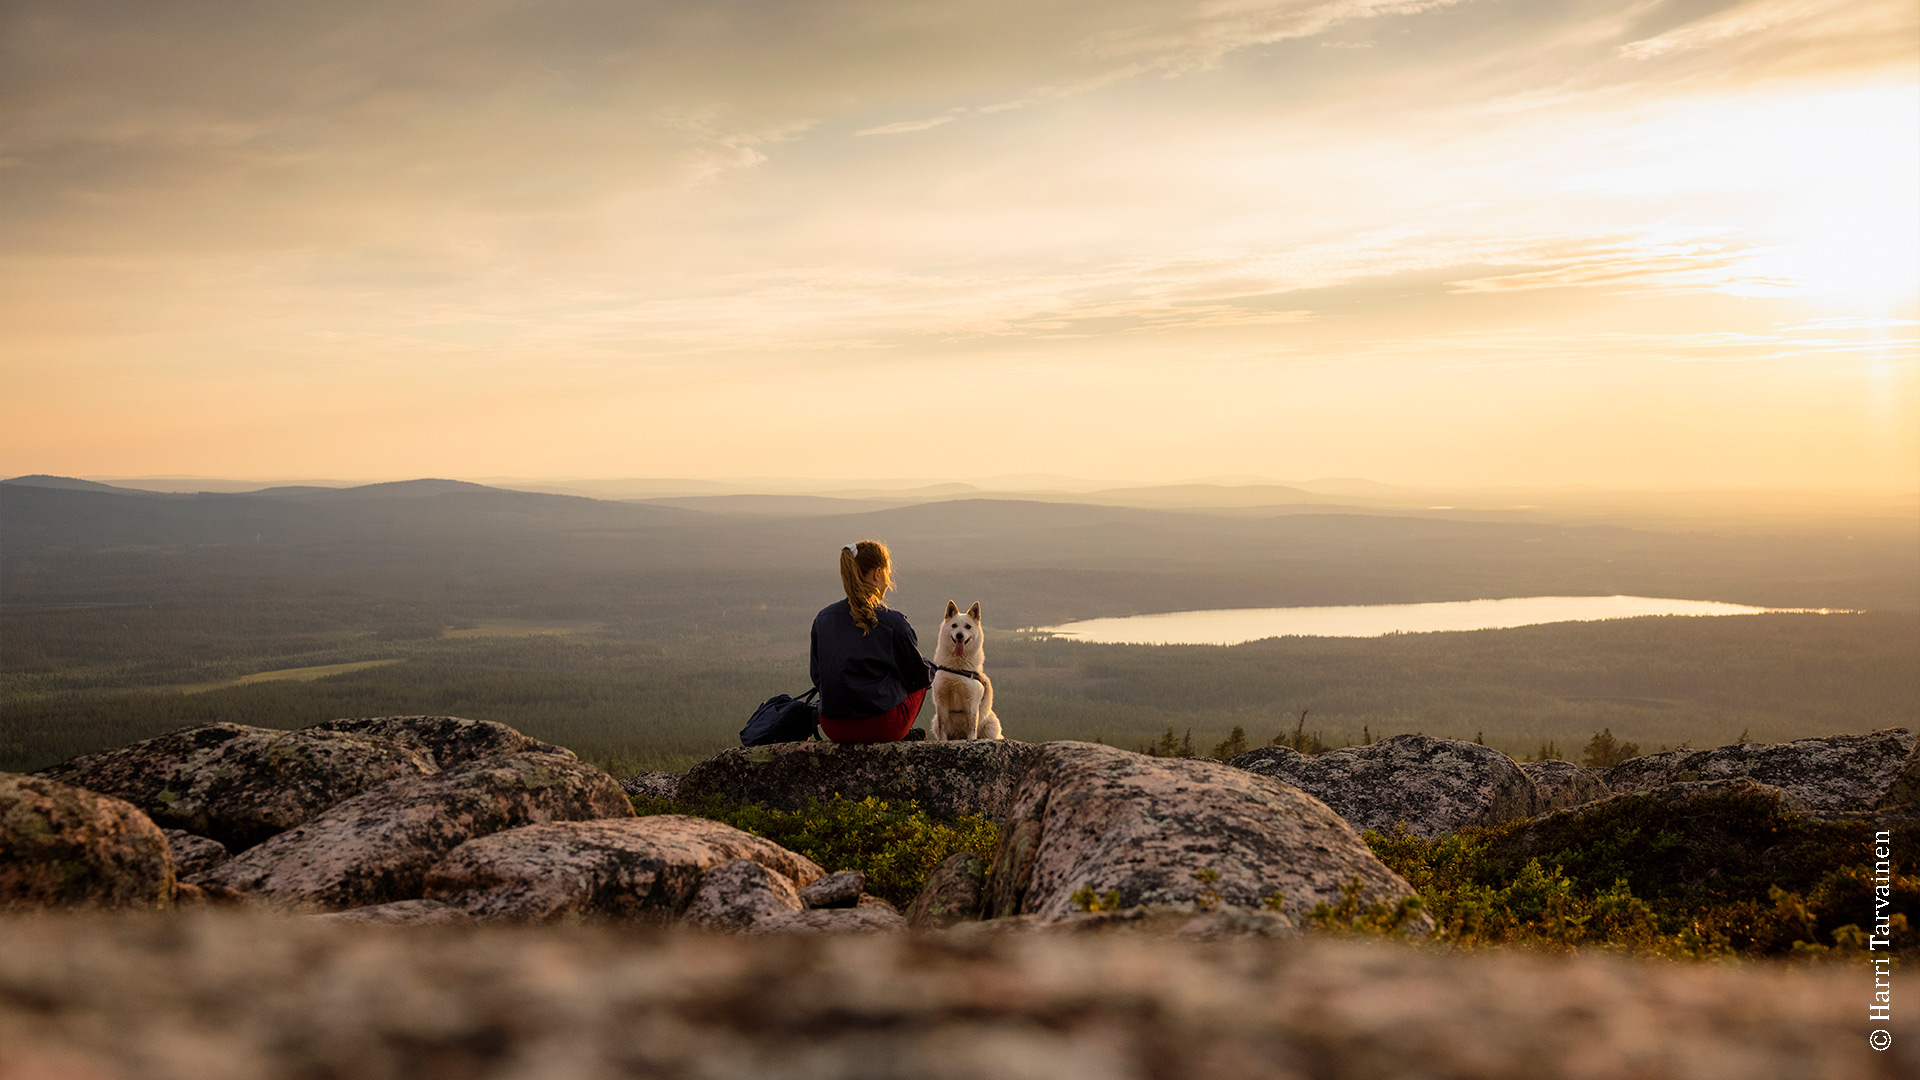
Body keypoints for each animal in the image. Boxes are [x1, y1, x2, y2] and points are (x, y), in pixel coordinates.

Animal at [929, 595, 1006, 737]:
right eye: (954, 625)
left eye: (968, 626)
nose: (959, 635)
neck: (957, 667)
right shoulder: (941, 701)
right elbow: (943, 730)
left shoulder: (972, 703)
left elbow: (972, 728)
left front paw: (971, 739)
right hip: (935, 721)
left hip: (990, 727)